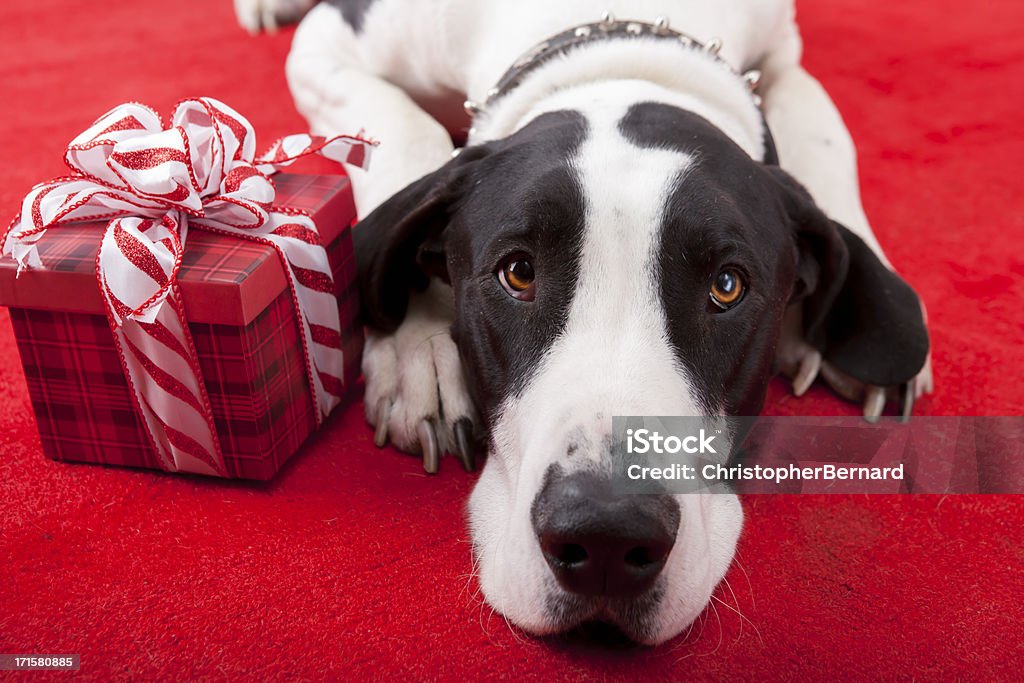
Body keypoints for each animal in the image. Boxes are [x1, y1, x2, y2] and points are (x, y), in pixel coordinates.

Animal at [235, 0, 933, 647]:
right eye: (518, 272)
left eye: (727, 286)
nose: (606, 537)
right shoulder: (331, 45)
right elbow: (406, 132)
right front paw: (421, 350)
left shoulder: (782, 51)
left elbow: (822, 127)